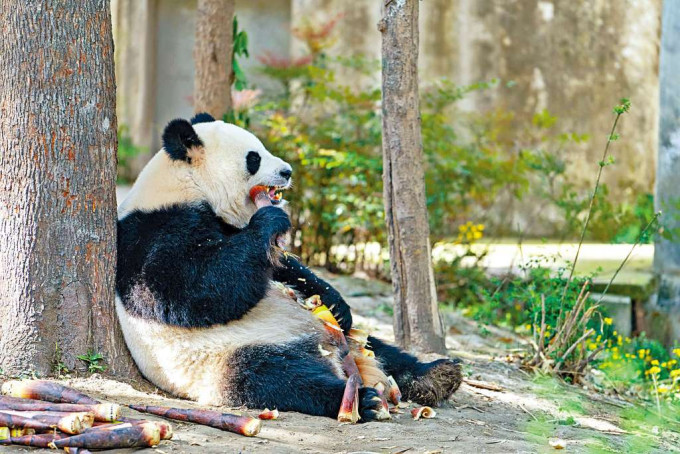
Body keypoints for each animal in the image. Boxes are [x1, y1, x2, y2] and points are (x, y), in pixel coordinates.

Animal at [117, 114, 462, 422]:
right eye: (253, 158)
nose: (287, 171)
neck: (185, 184)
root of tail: (330, 352)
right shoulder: (154, 231)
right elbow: (190, 290)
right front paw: (270, 220)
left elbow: (282, 267)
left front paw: (336, 303)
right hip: (226, 356)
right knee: (277, 378)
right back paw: (360, 401)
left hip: (344, 338)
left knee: (381, 348)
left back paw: (437, 374)